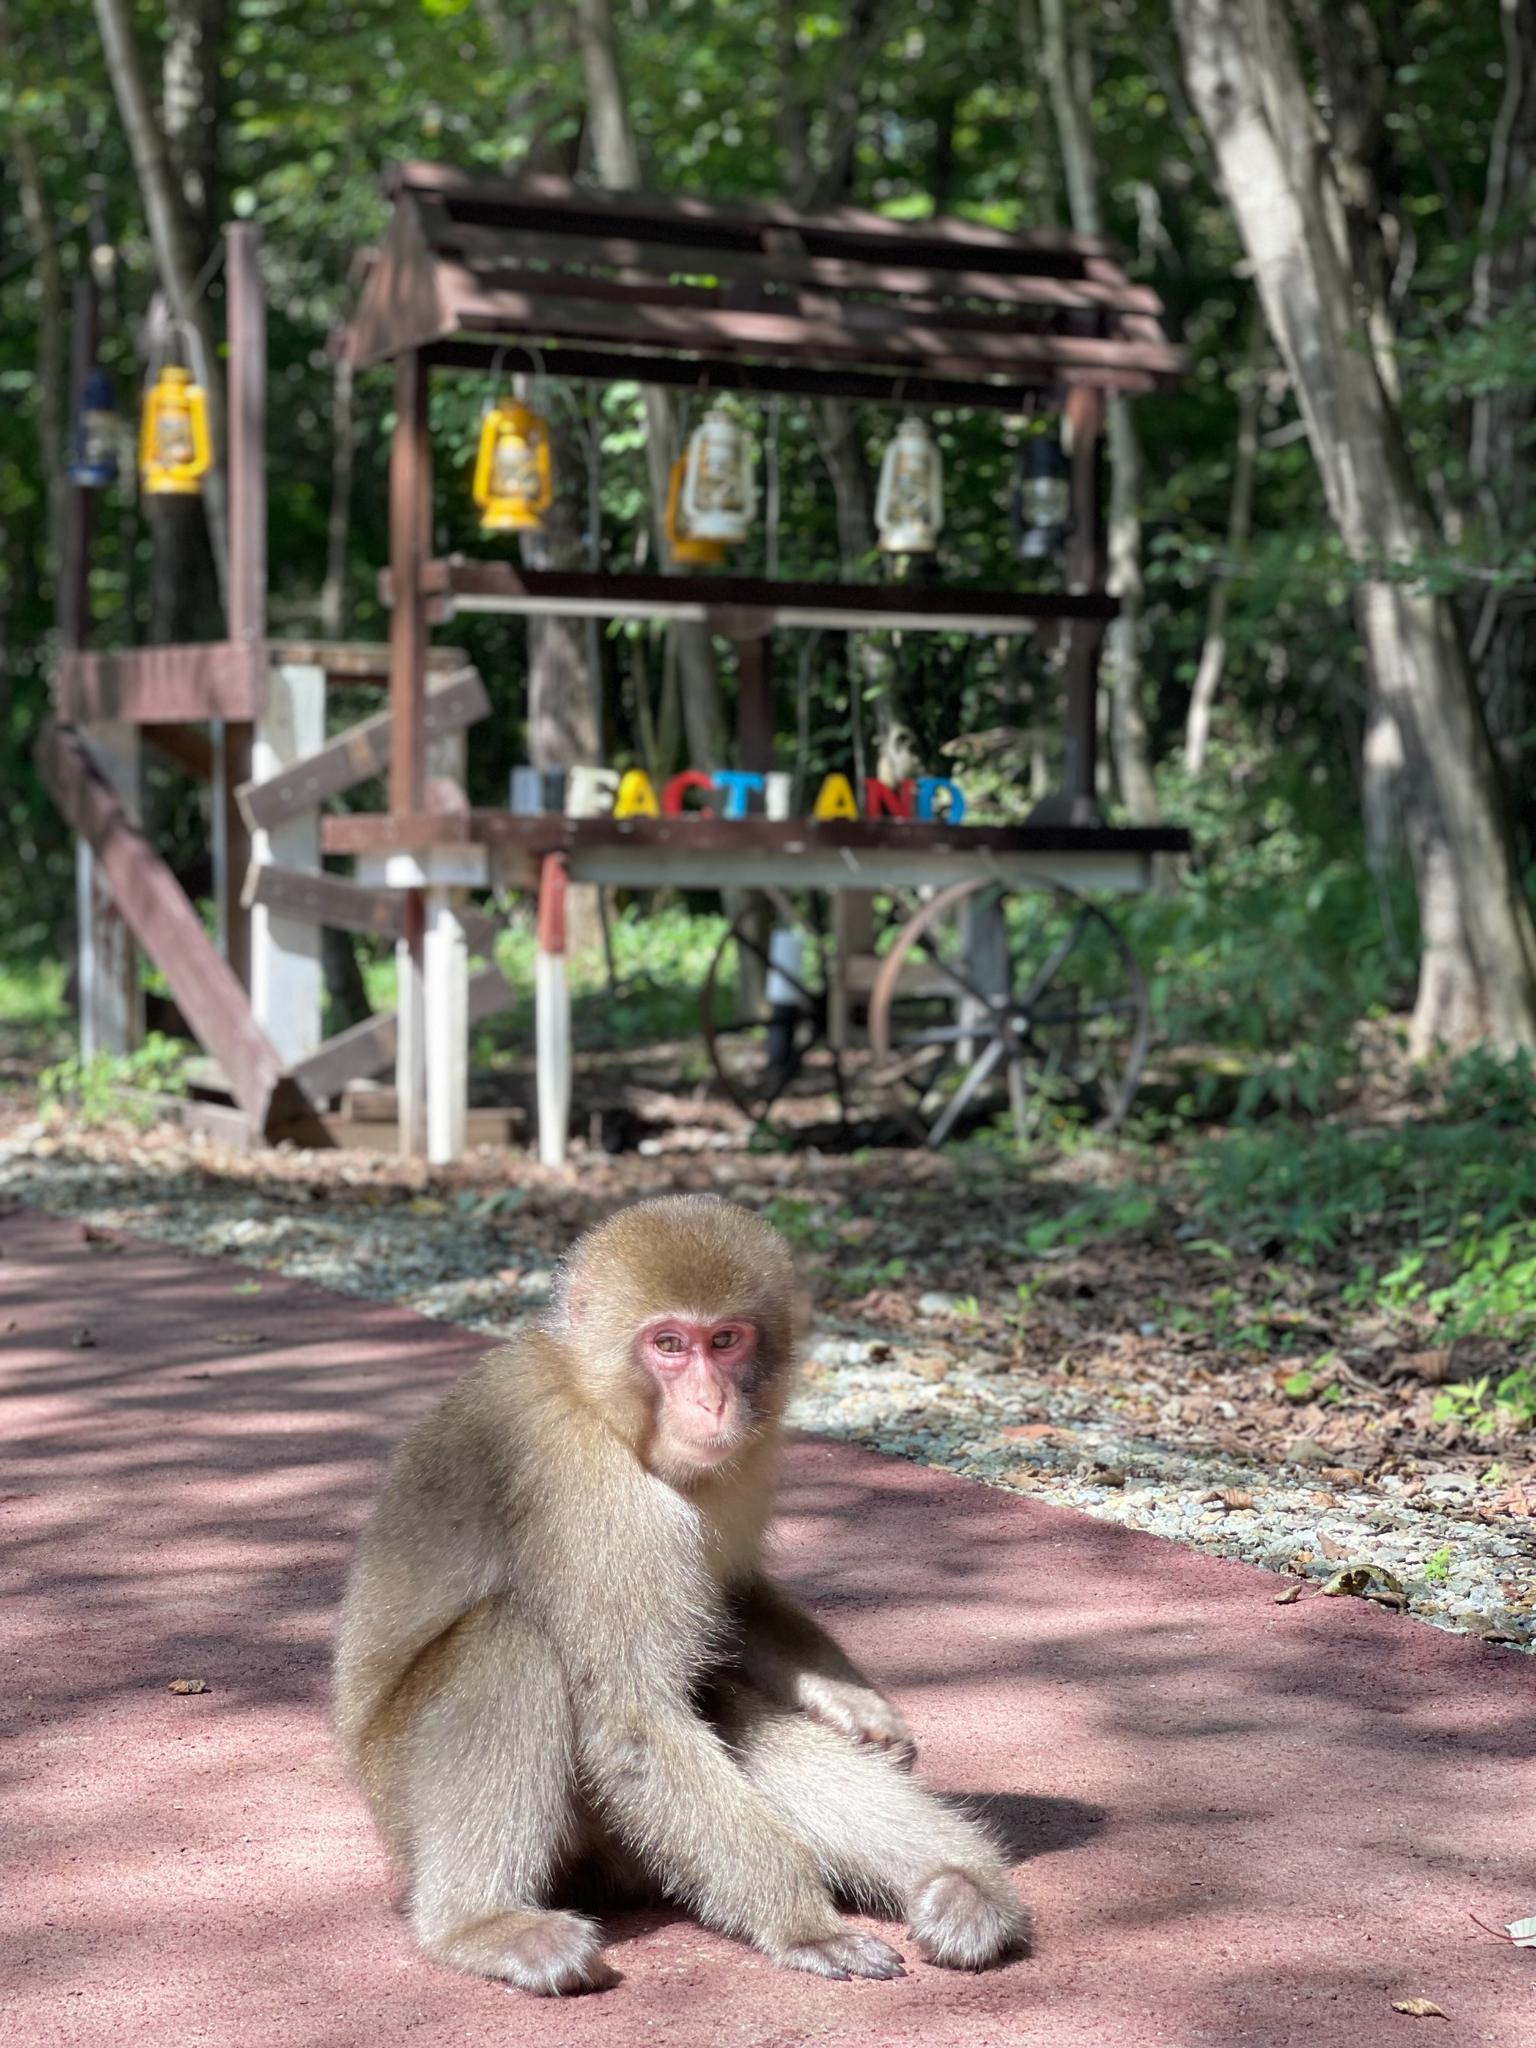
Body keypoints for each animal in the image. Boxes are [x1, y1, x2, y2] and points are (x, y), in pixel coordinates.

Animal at [335, 1196, 1036, 1990]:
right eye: (668, 1344)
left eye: (725, 1340)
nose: (710, 1400)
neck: (597, 1401)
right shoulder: (588, 1484)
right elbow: (633, 1723)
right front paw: (803, 1923)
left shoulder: (747, 1462)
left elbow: (735, 1598)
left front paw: (854, 1705)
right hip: (402, 1792)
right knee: (509, 1640)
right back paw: (479, 1924)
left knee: (718, 1700)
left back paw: (961, 1884)